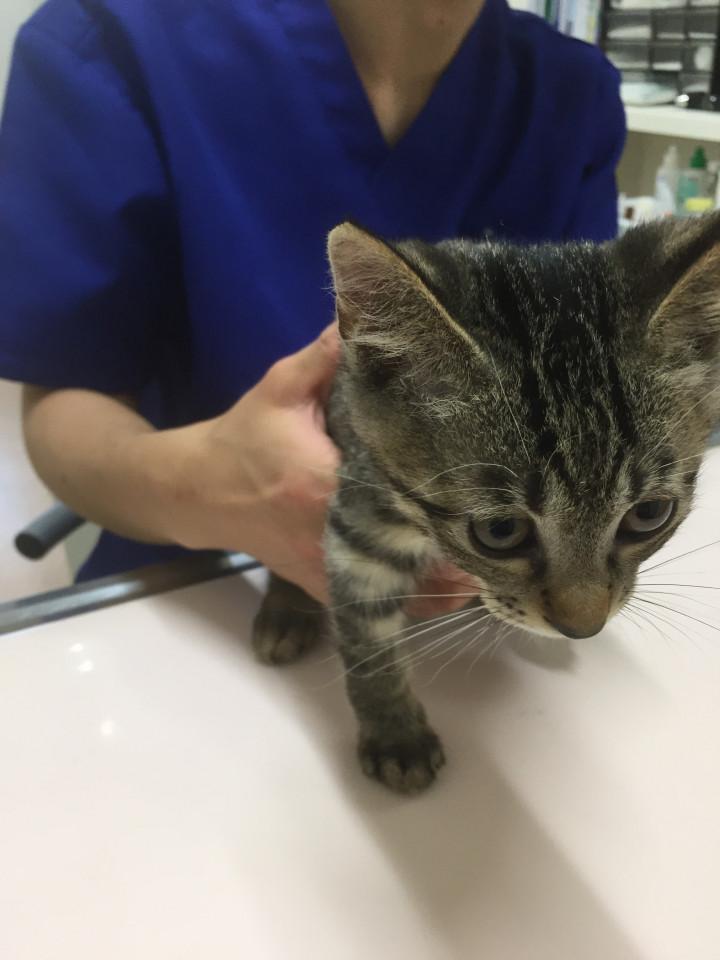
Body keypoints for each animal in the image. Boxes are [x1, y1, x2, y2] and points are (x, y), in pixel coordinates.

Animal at [252, 215, 720, 794]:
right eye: (500, 532)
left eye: (649, 515)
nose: (584, 627)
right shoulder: (359, 513)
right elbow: (366, 634)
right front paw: (394, 731)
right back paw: (285, 610)